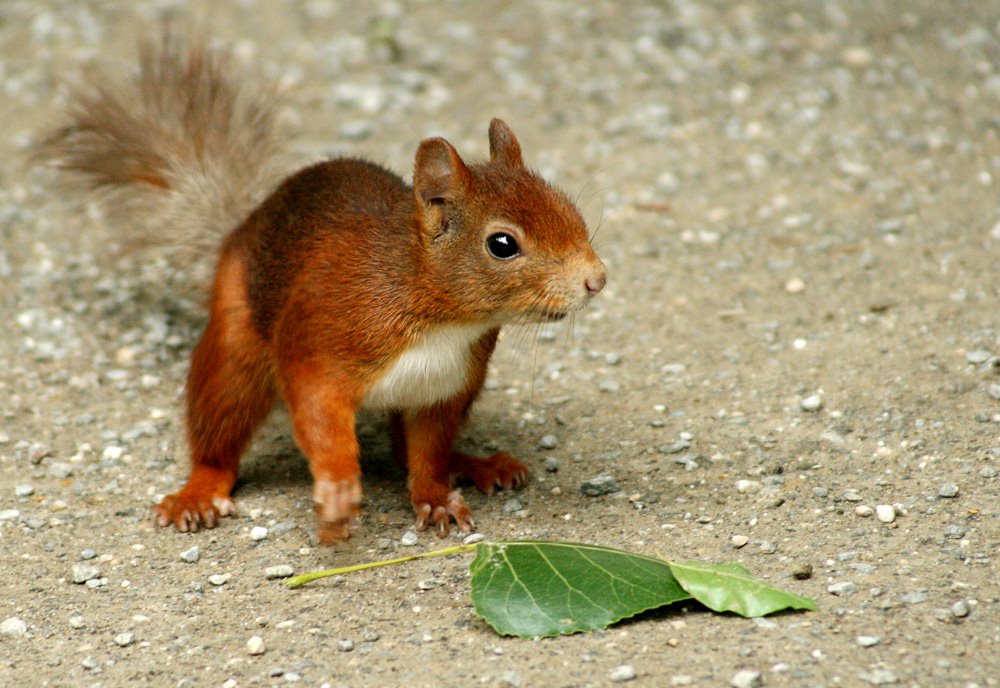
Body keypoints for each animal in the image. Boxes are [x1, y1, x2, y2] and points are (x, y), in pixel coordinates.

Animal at [39, 32, 604, 544]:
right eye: (502, 244)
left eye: (568, 207)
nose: (596, 280)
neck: (436, 314)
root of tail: (243, 225)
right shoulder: (321, 340)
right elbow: (320, 420)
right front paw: (336, 491)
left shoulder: (442, 388)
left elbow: (426, 453)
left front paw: (436, 497)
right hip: (235, 346)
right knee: (219, 428)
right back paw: (198, 492)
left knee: (403, 450)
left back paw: (476, 464)